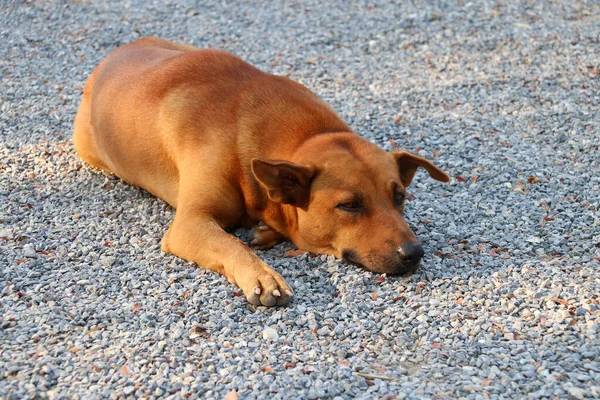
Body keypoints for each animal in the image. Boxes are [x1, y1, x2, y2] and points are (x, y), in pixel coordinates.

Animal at [74, 37, 450, 306]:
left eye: (399, 196)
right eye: (349, 205)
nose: (414, 253)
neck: (304, 136)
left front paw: (267, 231)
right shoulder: (189, 223)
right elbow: (231, 244)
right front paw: (261, 275)